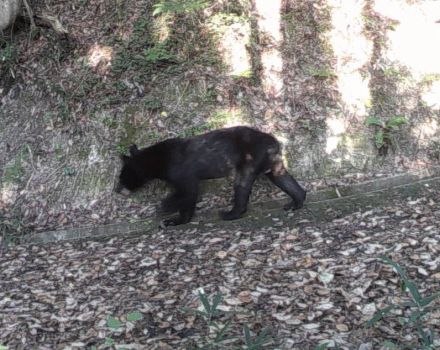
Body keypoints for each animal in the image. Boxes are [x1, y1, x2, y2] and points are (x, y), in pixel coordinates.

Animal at [117, 127, 306, 226]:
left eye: (122, 177)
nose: (117, 189)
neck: (159, 161)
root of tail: (274, 143)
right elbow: (188, 194)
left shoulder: (181, 172)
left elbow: (188, 192)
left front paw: (167, 213)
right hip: (271, 162)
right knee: (281, 177)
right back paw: (295, 202)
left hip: (250, 159)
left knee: (242, 184)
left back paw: (230, 213)